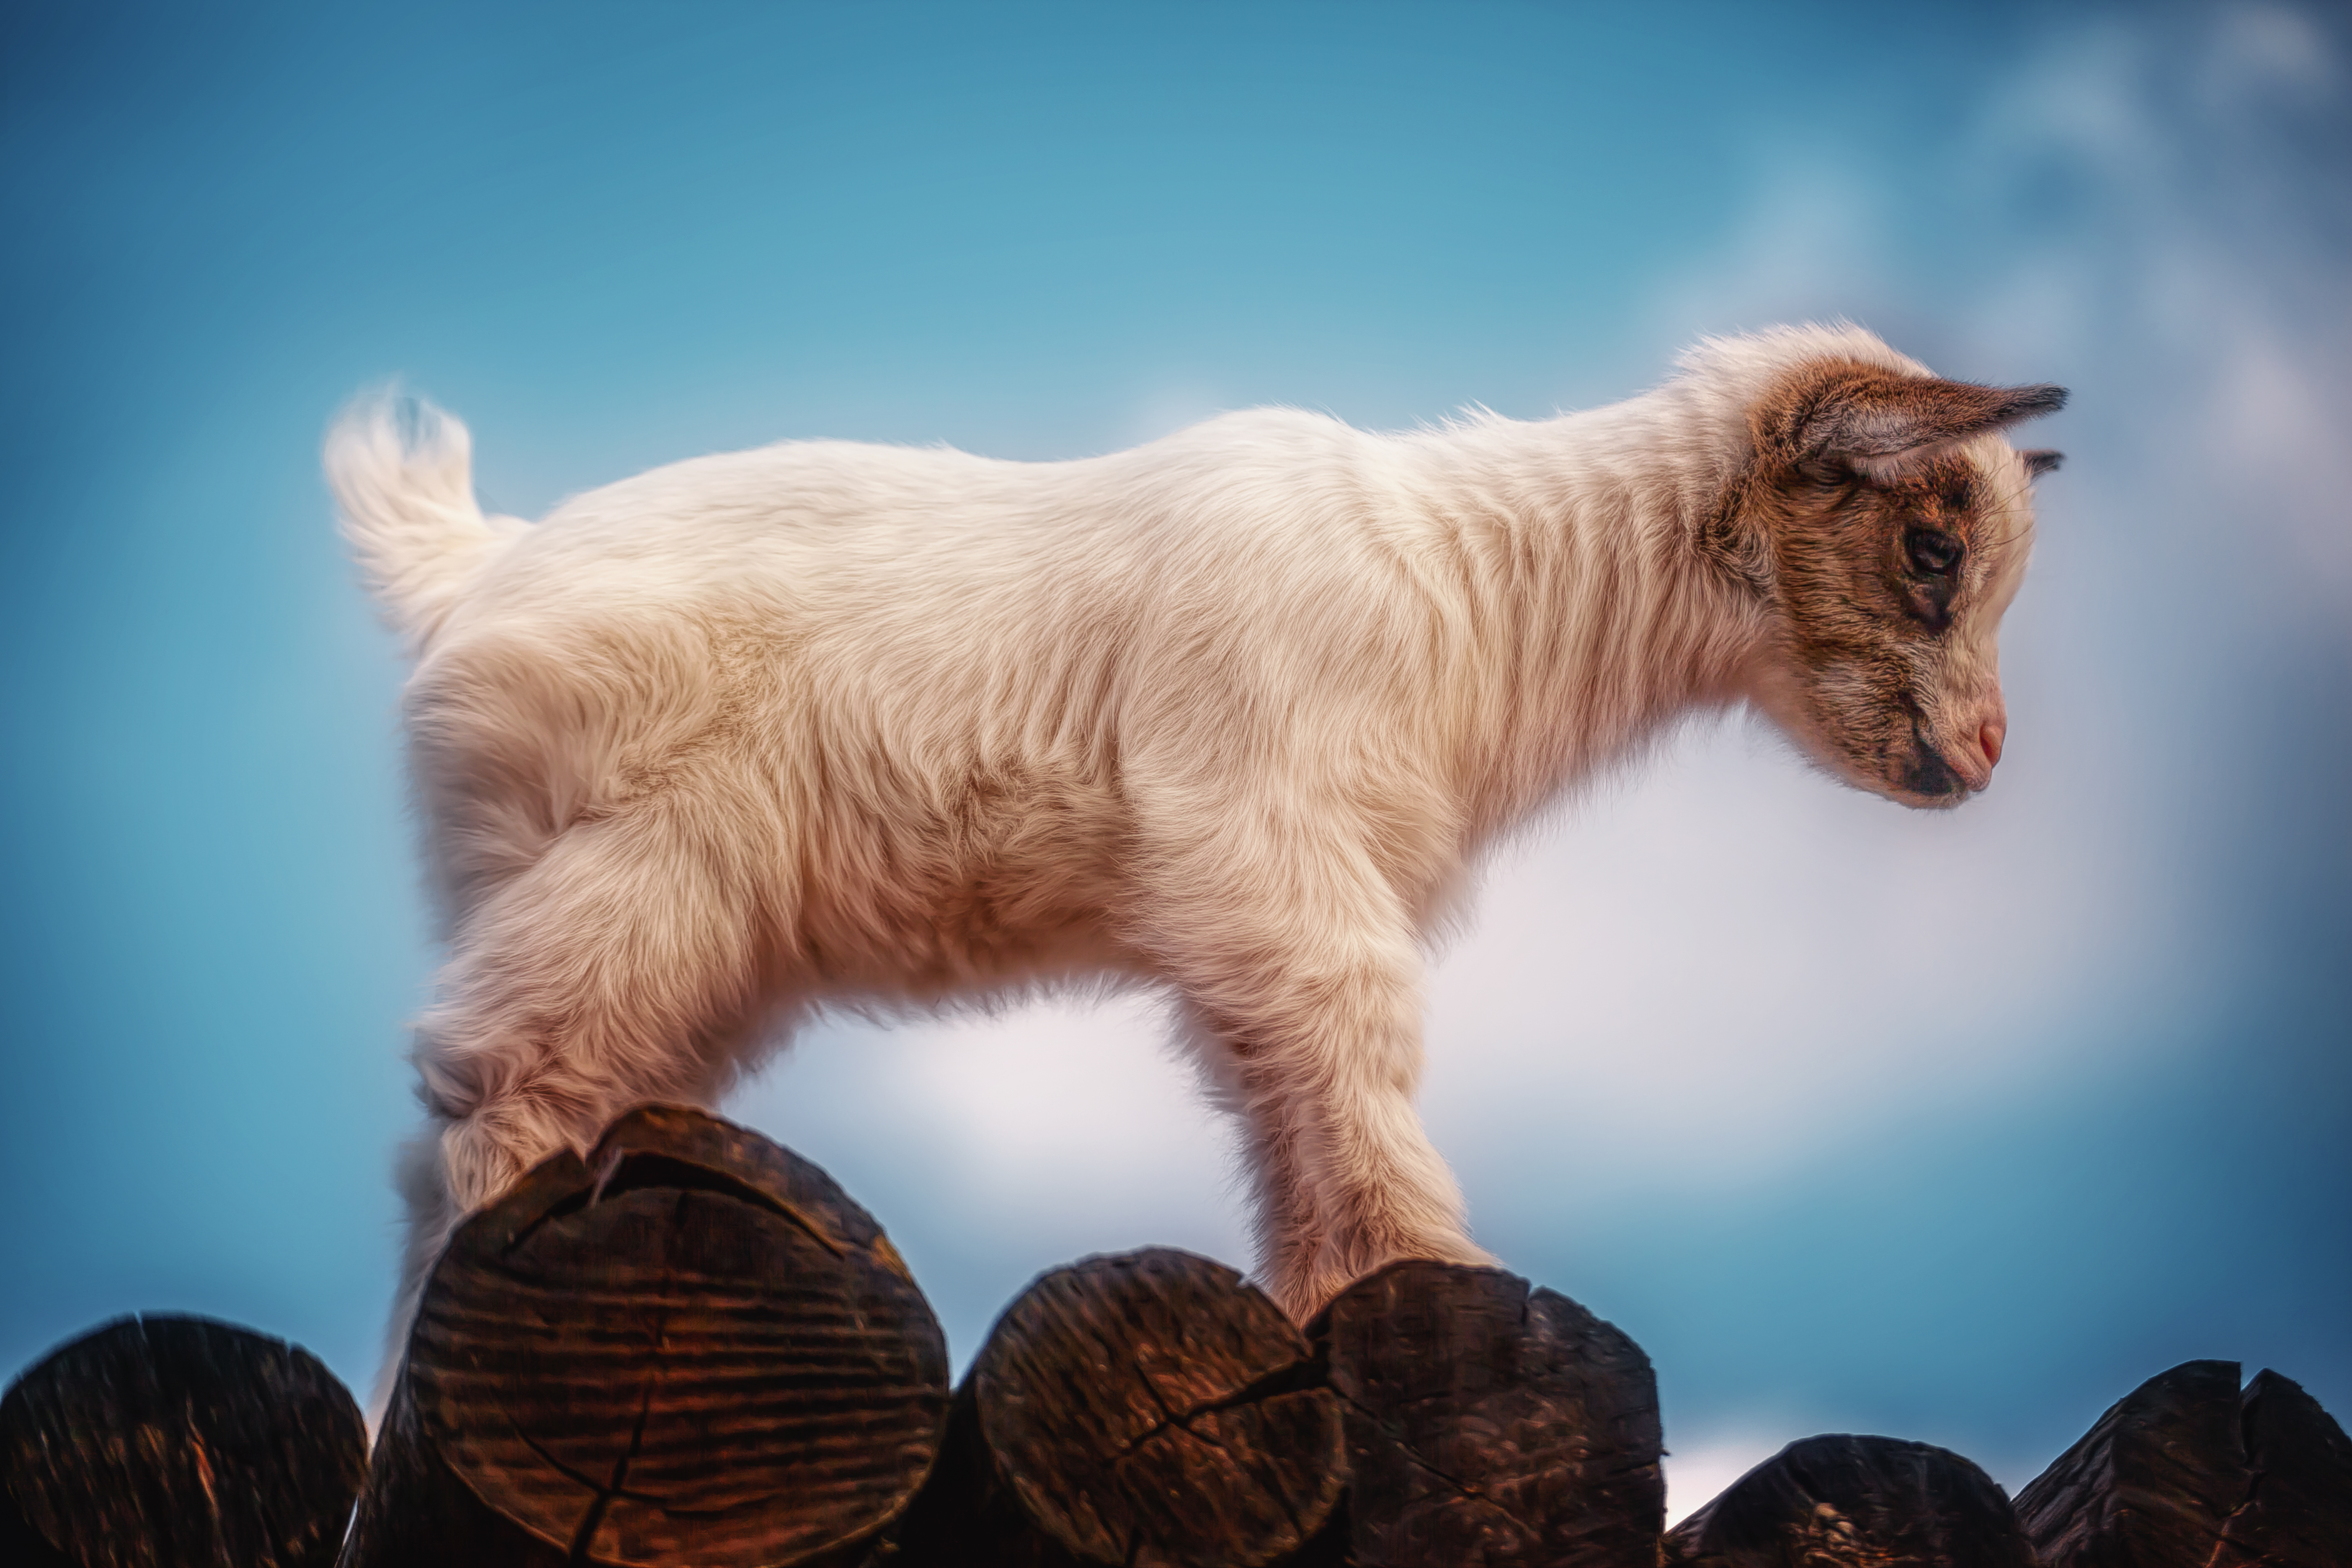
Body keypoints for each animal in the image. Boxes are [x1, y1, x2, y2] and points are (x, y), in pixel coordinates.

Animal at [328, 324, 2064, 1360]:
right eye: (1930, 547)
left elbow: (1288, 1102)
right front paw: (1422, 1270)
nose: (1986, 755)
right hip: (647, 868)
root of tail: (470, 559)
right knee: (498, 1081)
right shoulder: (1273, 858)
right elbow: (1352, 1057)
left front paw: (1329, 1297)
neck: (1472, 590)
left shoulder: (1263, 906)